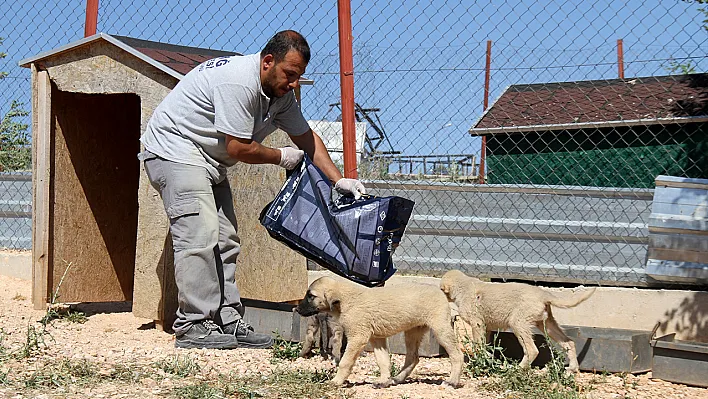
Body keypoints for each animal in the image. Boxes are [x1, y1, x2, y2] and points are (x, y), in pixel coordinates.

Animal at [294, 276, 464, 390]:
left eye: (311, 296)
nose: (297, 309)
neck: (346, 300)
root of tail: (440, 291)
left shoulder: (358, 338)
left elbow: (345, 362)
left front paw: (336, 381)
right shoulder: (377, 338)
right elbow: (383, 361)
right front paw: (384, 380)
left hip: (441, 329)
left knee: (457, 355)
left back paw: (452, 381)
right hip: (412, 332)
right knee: (413, 358)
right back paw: (397, 378)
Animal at [440, 270, 596, 374]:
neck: (464, 286)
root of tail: (543, 293)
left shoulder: (477, 324)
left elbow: (478, 345)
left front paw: (480, 360)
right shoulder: (487, 327)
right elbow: (486, 345)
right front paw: (487, 359)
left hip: (518, 323)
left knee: (532, 350)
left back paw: (517, 368)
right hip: (547, 324)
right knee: (569, 342)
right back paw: (573, 368)